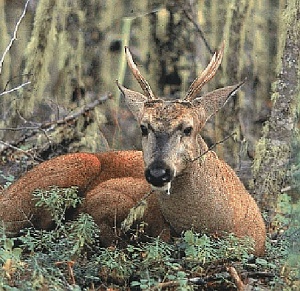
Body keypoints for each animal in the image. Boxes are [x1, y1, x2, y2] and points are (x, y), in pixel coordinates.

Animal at [0, 42, 268, 256]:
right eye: (143, 127)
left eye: (188, 128)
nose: (158, 172)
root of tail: (5, 195)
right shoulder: (107, 197)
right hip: (78, 165)